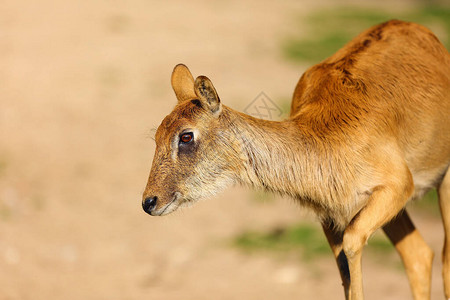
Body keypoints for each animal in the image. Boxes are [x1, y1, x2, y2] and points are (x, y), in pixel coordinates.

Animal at [143, 19, 450, 298]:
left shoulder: (397, 187)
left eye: (185, 136)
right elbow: (345, 267)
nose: (149, 201)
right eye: (156, 135)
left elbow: (352, 246)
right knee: (419, 254)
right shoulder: (330, 216)